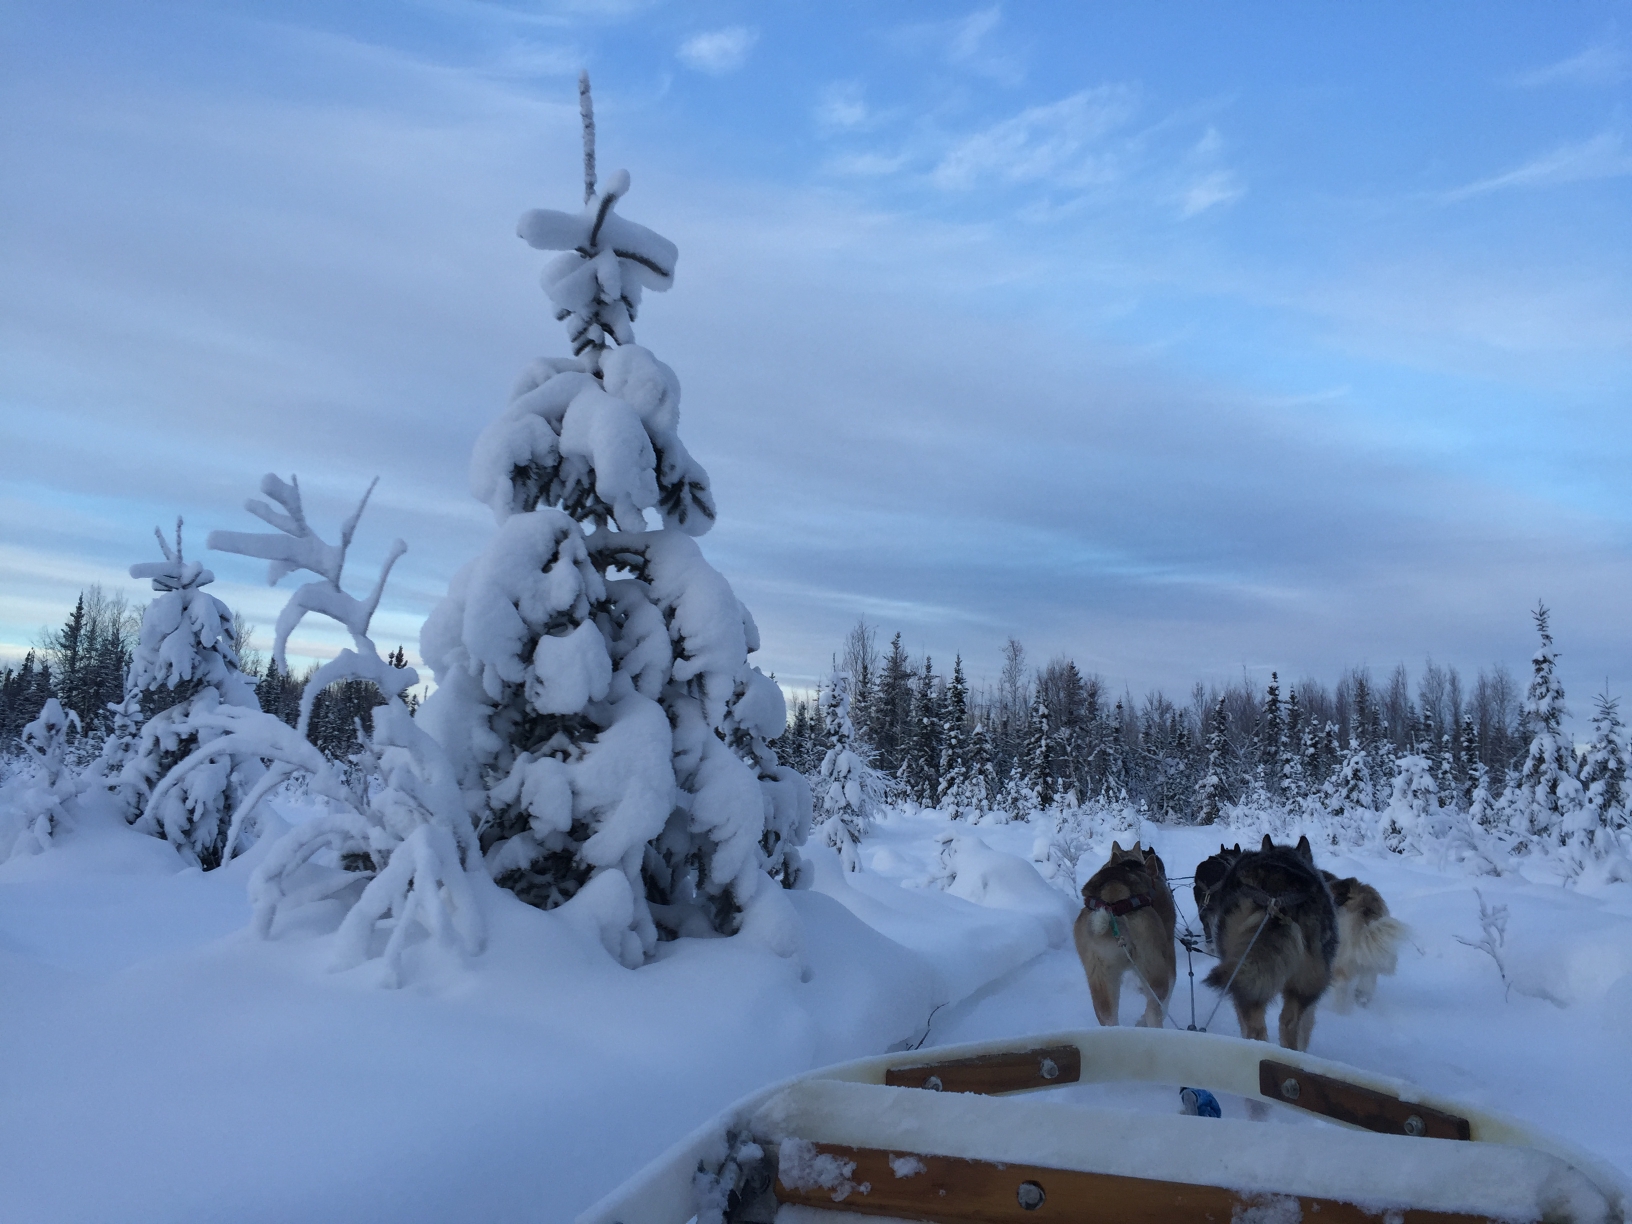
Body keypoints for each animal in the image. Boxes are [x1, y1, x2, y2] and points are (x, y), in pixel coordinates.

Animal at [1070, 842, 1175, 1031]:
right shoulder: (1169, 953)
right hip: (1155, 969)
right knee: (1154, 1009)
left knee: (1108, 1017)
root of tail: (1113, 897)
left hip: (1100, 978)